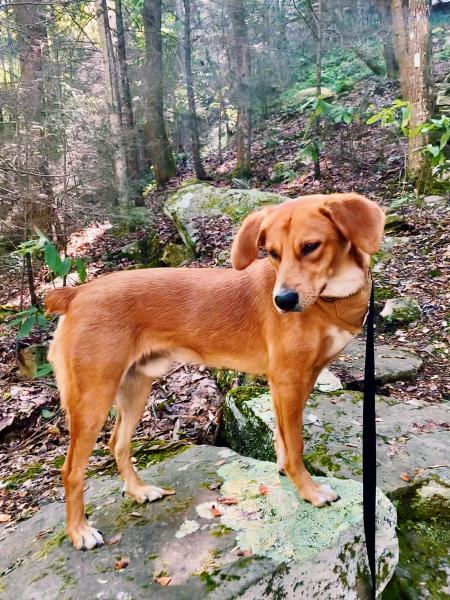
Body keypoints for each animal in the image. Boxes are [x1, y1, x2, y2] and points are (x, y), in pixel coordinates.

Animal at [44, 195, 384, 552]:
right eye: (272, 253)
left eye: (310, 247)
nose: (283, 301)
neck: (331, 298)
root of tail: (77, 293)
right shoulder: (288, 380)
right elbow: (295, 445)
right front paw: (309, 490)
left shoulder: (297, 380)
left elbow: (283, 438)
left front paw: (285, 471)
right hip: (92, 399)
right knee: (71, 470)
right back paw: (79, 531)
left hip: (135, 388)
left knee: (117, 444)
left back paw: (138, 491)